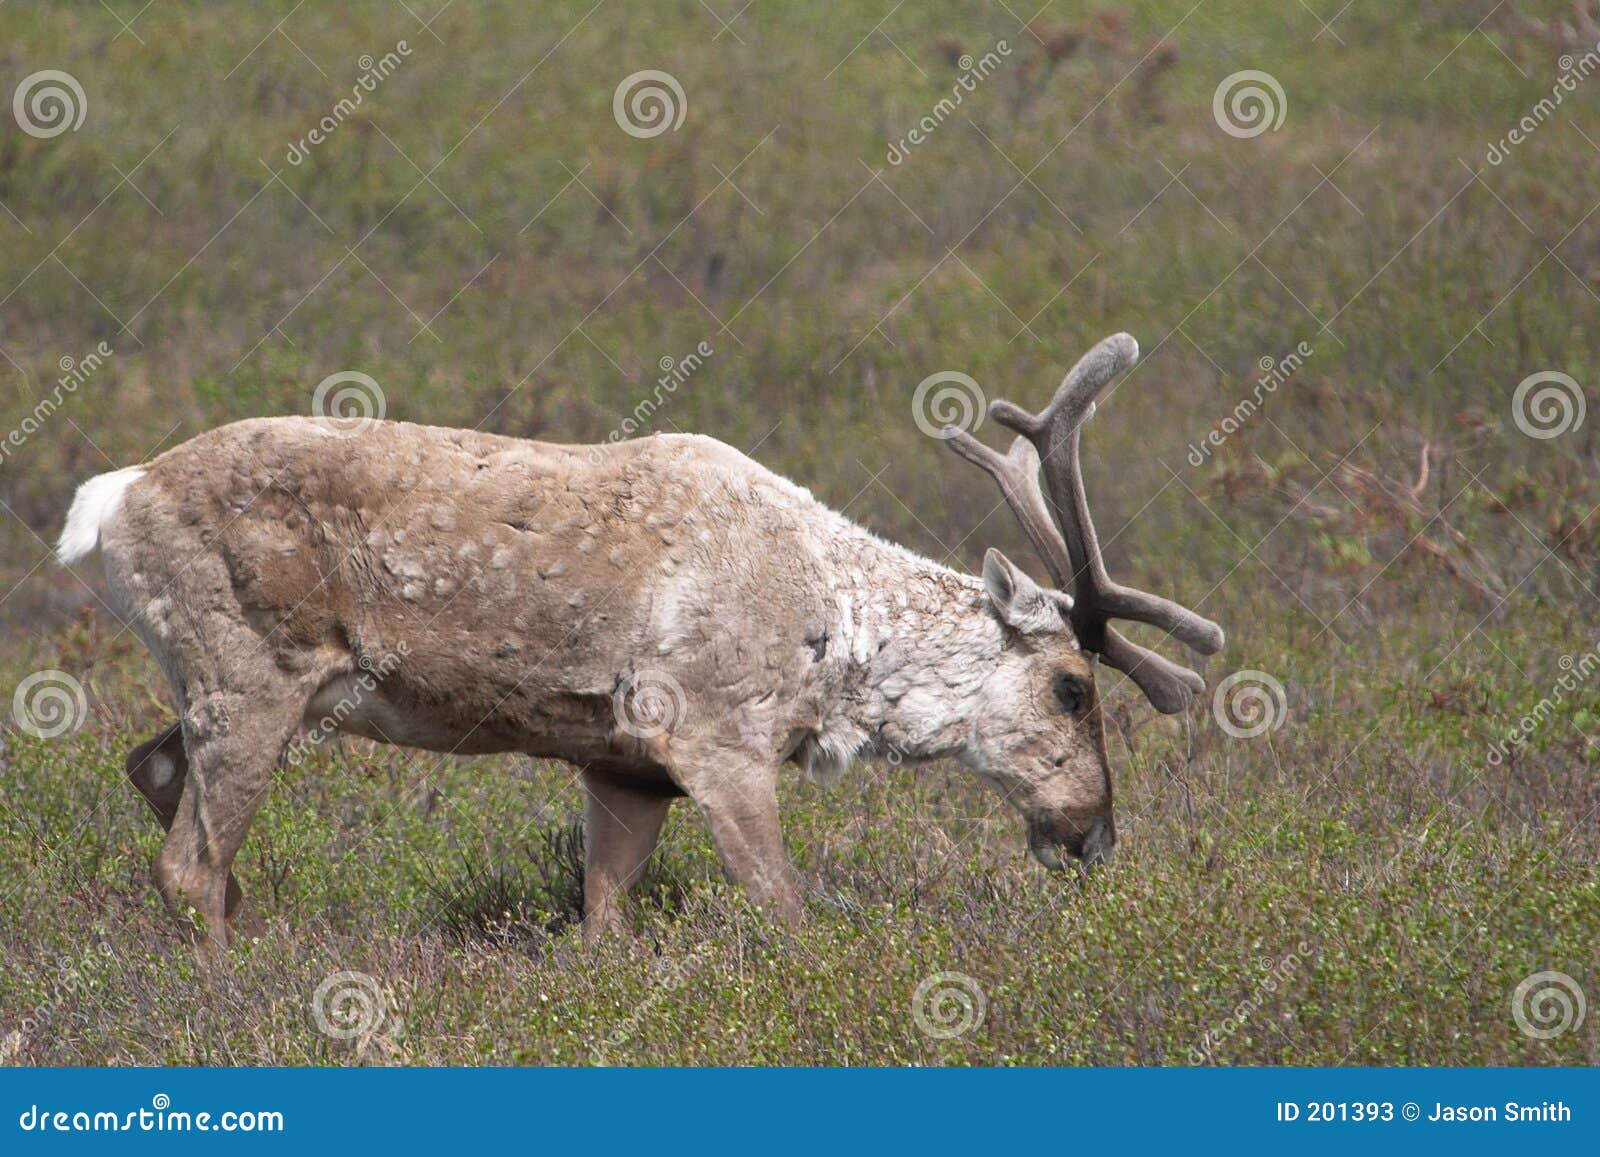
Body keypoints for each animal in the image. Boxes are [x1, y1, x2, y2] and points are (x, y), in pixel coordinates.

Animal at [55, 332, 1222, 950]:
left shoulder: (624, 767)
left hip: (223, 683)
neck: (830, 642)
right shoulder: (717, 739)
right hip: (252, 673)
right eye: (1074, 688)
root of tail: (114, 496)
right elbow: (787, 910)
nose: (1094, 834)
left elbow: (603, 921)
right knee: (186, 860)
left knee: (149, 766)